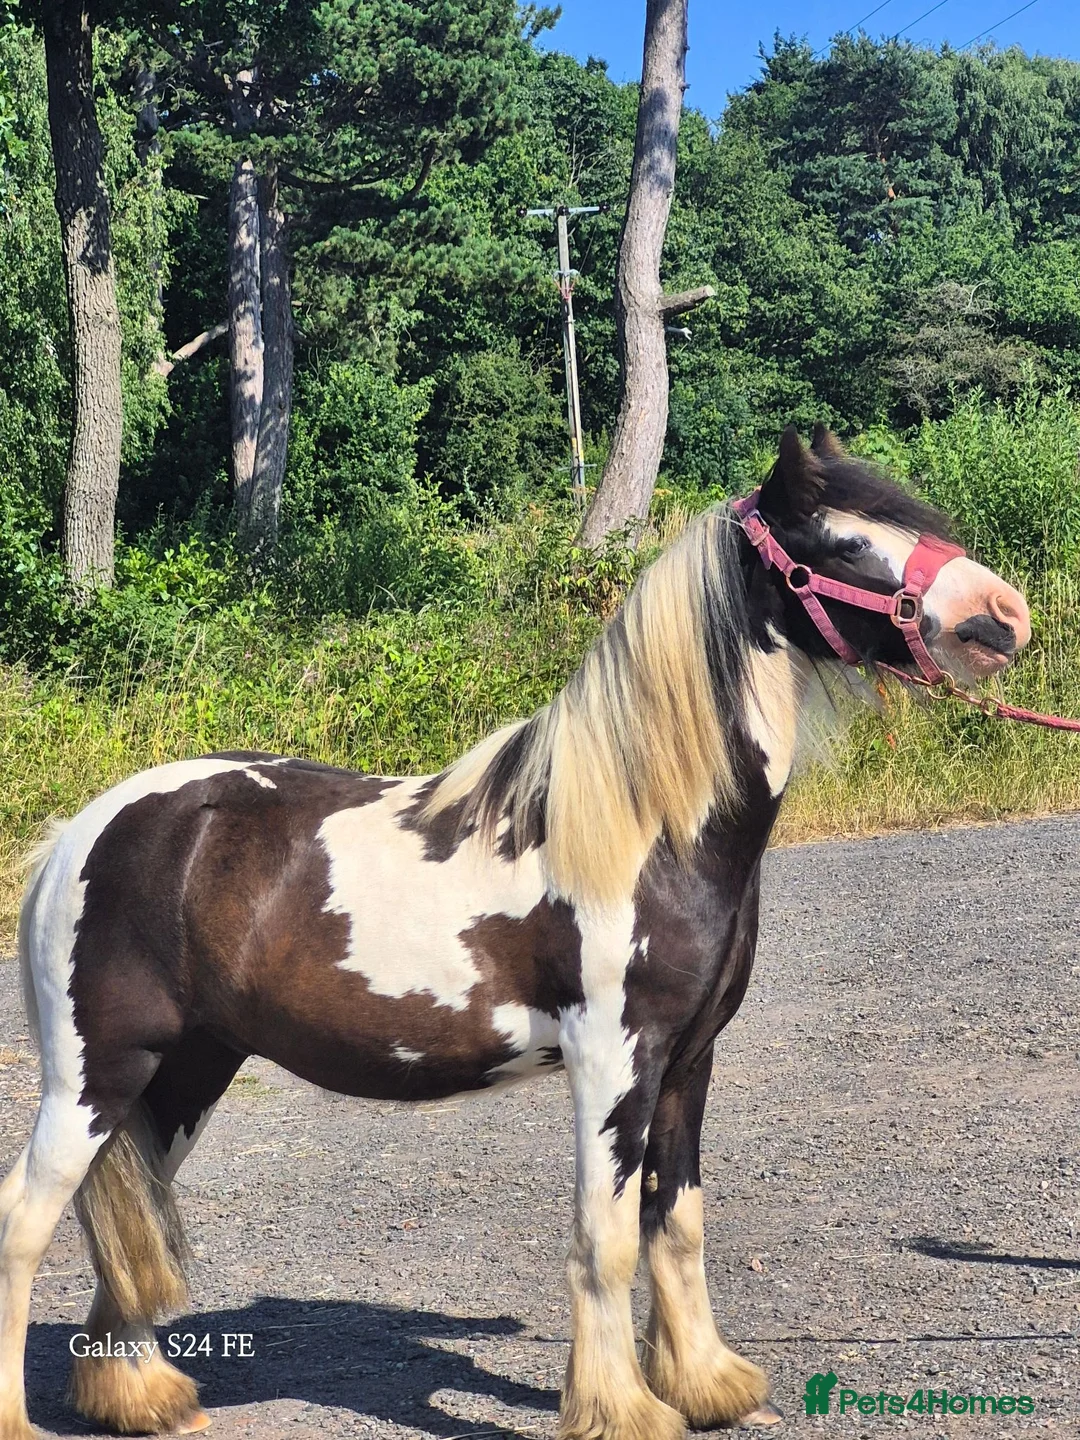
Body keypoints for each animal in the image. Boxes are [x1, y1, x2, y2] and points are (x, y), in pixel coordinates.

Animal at [0, 425, 1031, 1440]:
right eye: (845, 541)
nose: (1003, 616)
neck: (644, 826)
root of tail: (80, 835)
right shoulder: (614, 1060)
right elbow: (606, 1239)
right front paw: (624, 1411)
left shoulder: (687, 1062)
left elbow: (677, 1222)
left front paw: (705, 1386)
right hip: (98, 1075)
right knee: (25, 1223)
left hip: (185, 1073)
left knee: (131, 1216)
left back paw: (142, 1397)